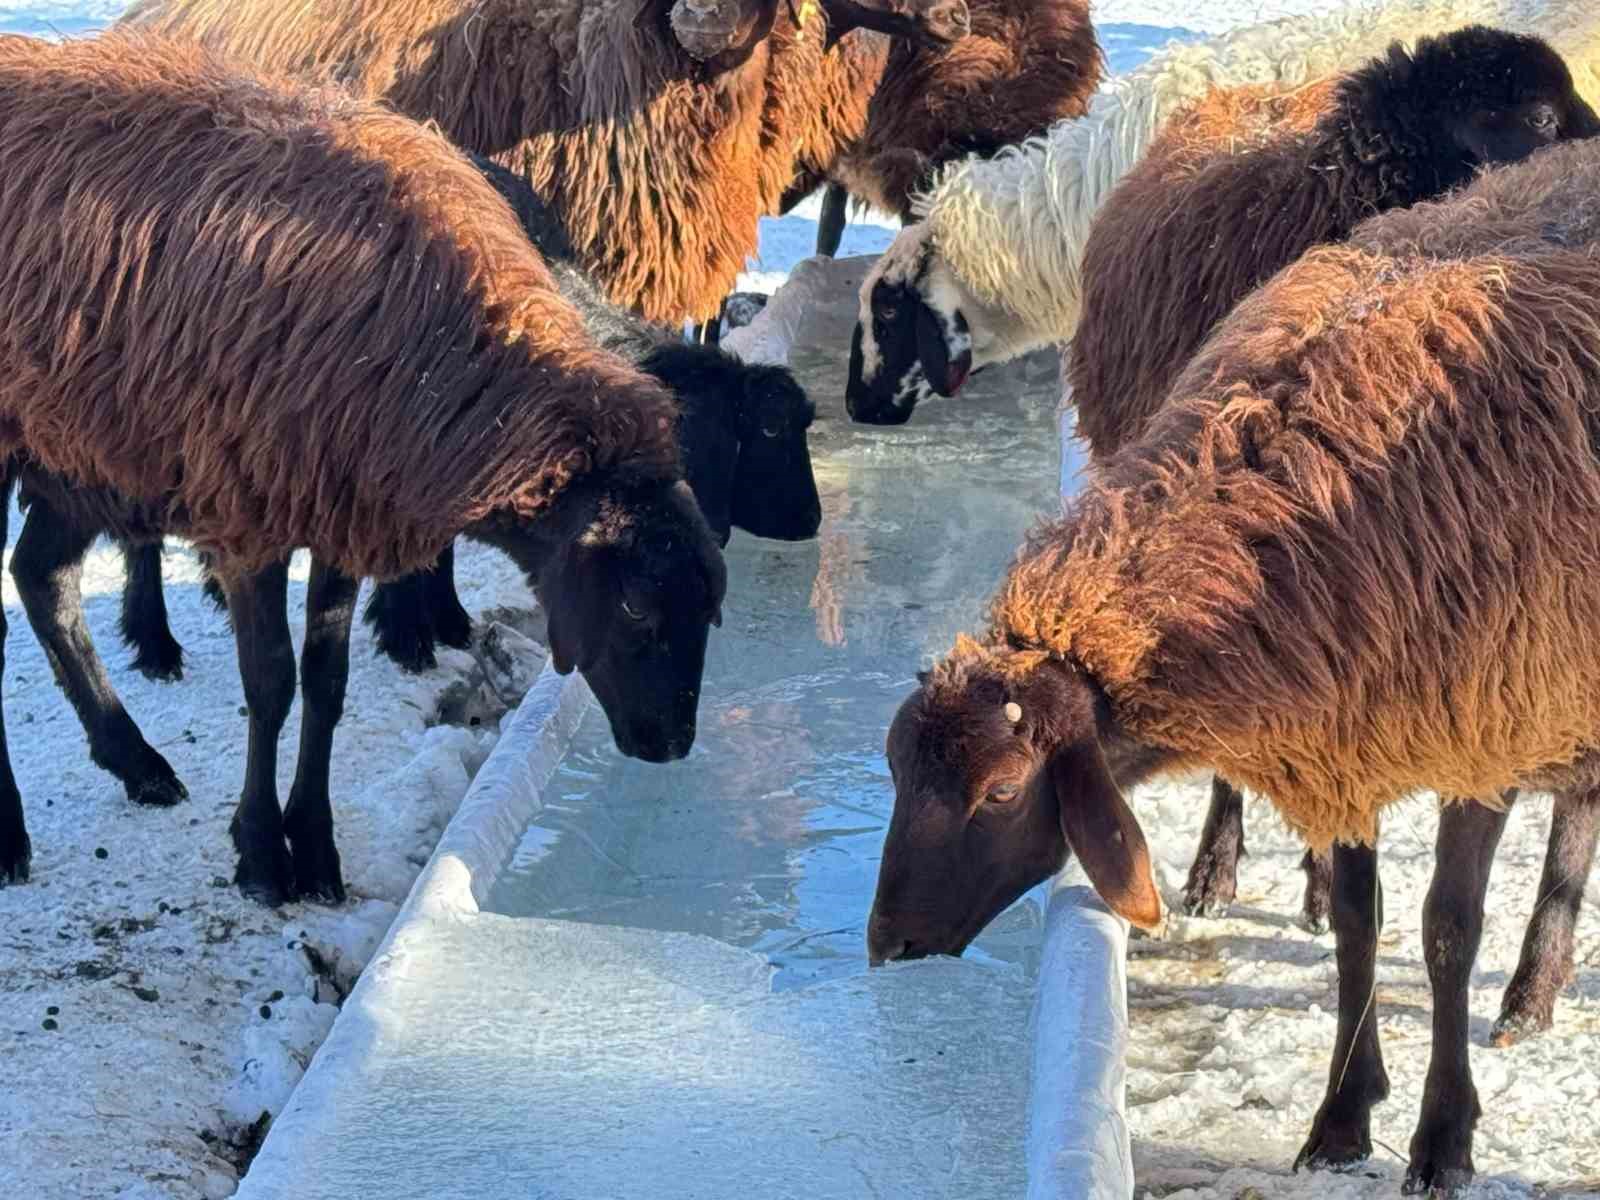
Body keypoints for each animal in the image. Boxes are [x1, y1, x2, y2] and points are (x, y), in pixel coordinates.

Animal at [0, 30, 726, 908]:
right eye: (634, 608)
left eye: (711, 608)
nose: (670, 746)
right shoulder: (248, 514)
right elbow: (270, 684)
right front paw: (262, 855)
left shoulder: (339, 514)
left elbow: (326, 680)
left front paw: (316, 850)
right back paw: (10, 831)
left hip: (75, 454)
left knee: (41, 579)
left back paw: (136, 763)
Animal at [870, 136, 1600, 1196]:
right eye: (893, 770)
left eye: (1003, 794)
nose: (886, 945)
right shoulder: (1346, 734)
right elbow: (1359, 918)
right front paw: (1341, 1119)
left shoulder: (1488, 727)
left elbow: (1446, 931)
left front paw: (1441, 1141)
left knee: (1574, 815)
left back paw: (1533, 991)